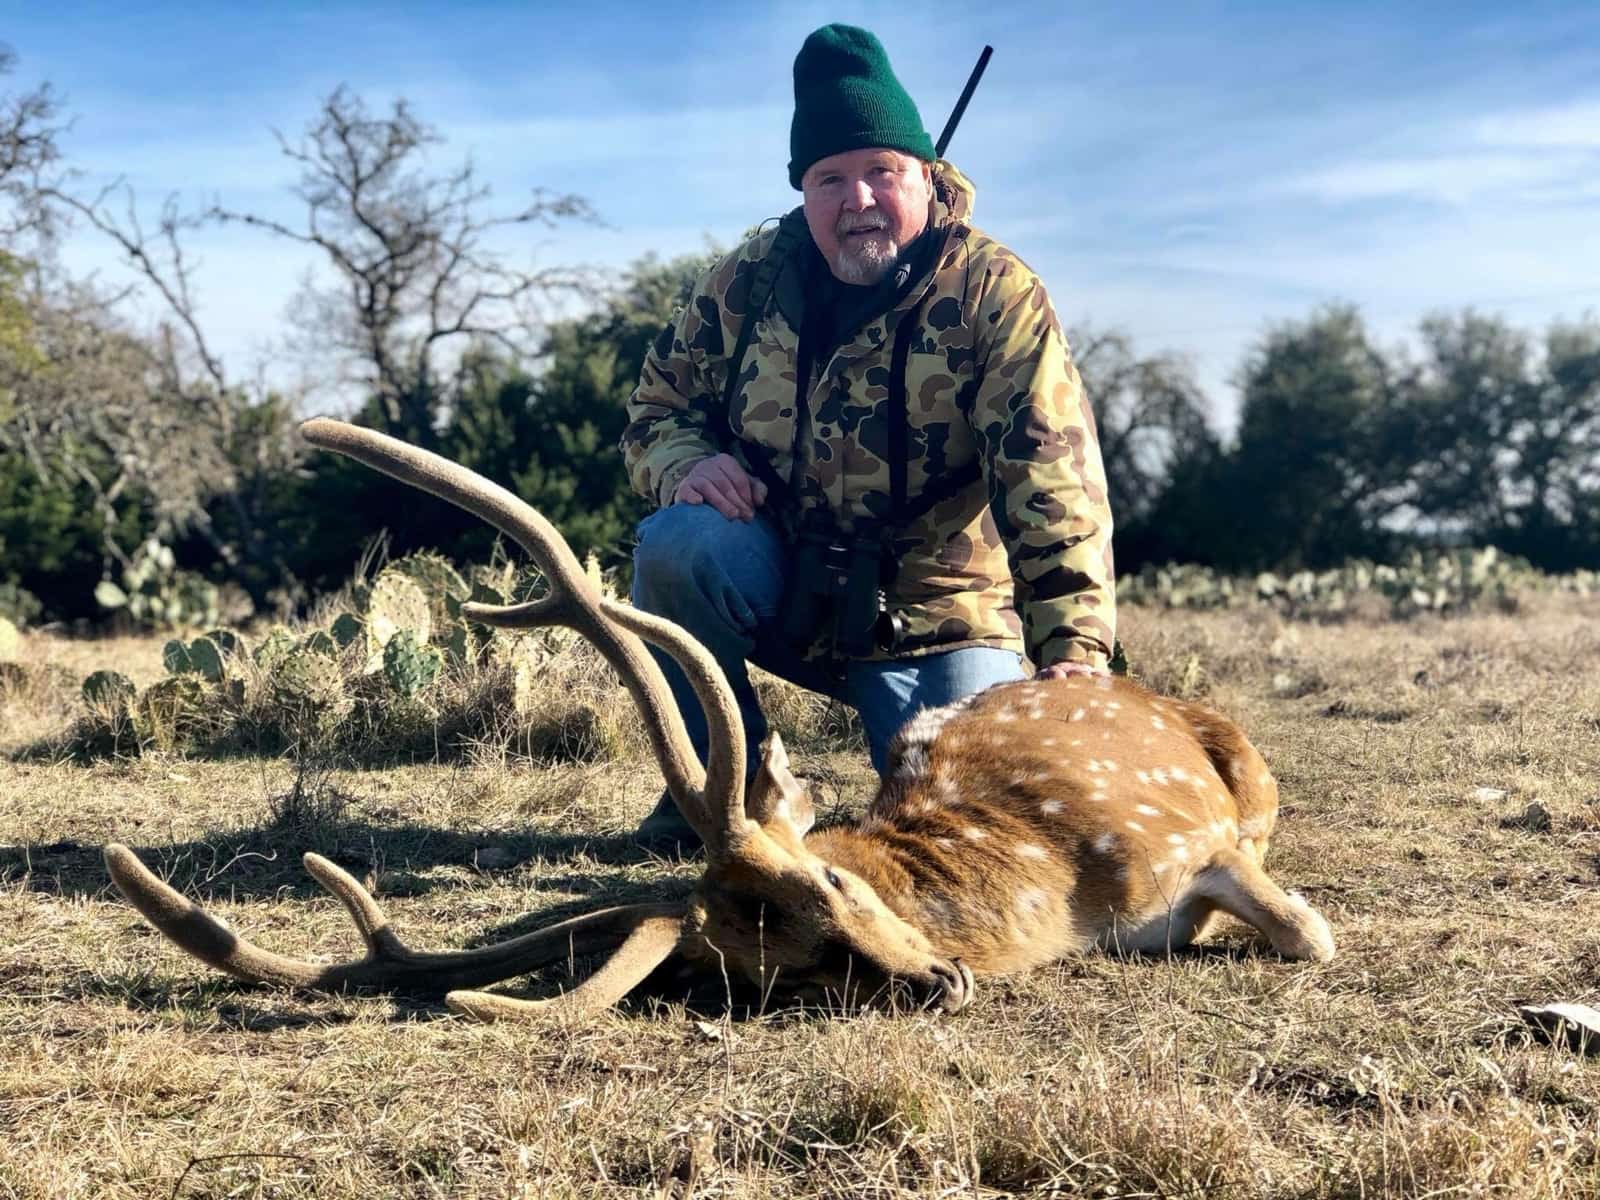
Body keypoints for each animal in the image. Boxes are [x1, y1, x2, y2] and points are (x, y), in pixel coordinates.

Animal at [102, 418, 1336, 1023]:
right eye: (778, 970)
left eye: (829, 879)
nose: (937, 981)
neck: (1066, 891)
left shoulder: (1184, 834)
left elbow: (1305, 934)